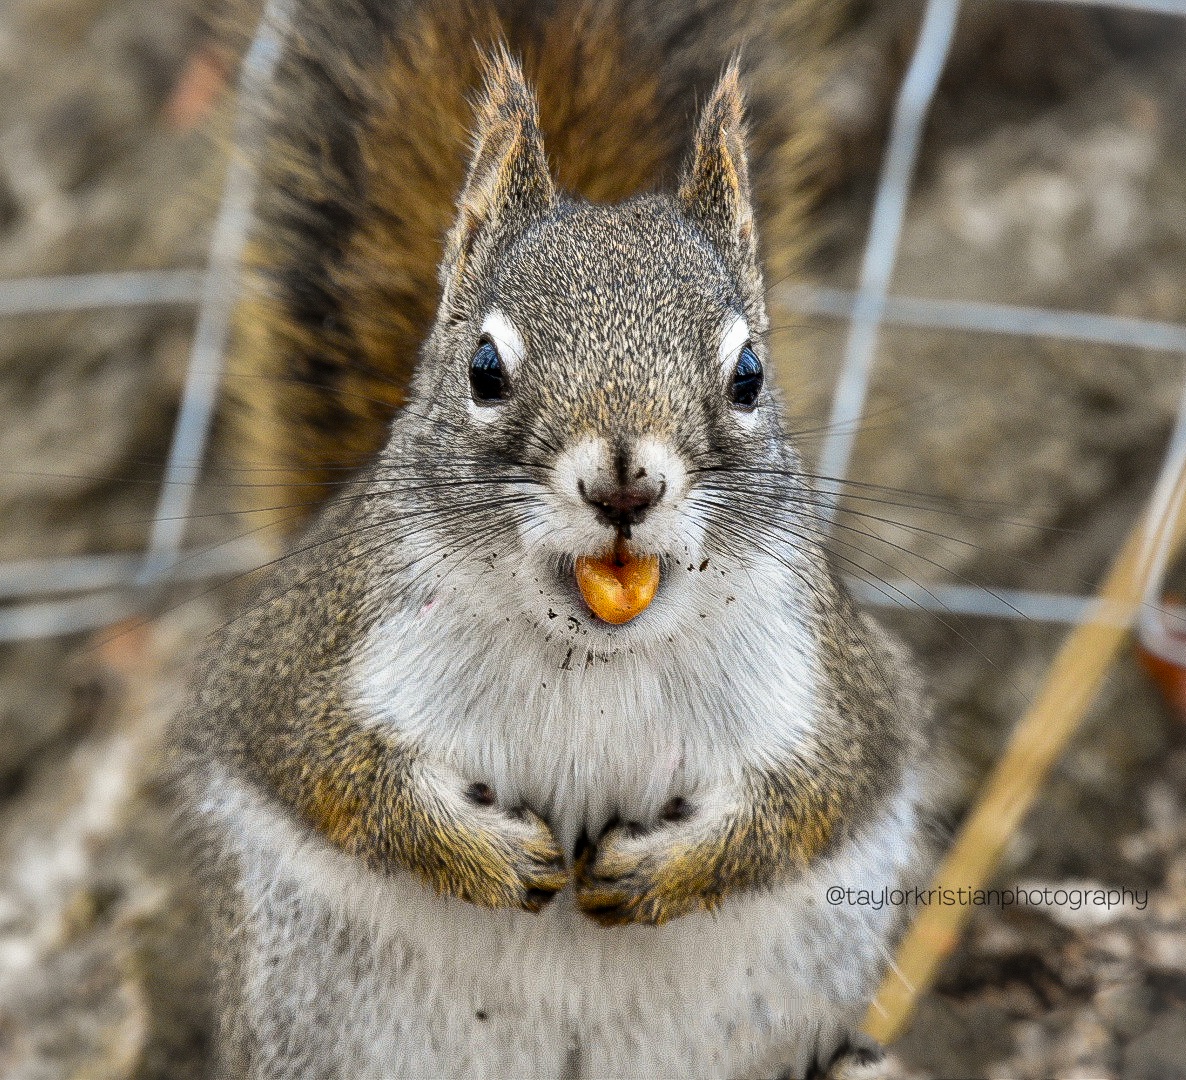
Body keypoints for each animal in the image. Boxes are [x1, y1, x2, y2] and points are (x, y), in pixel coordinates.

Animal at [173, 0, 944, 1076]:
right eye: (484, 367)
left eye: (749, 373)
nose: (624, 483)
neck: (596, 658)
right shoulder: (307, 661)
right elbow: (329, 769)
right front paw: (478, 852)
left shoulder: (829, 685)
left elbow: (818, 792)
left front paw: (669, 868)